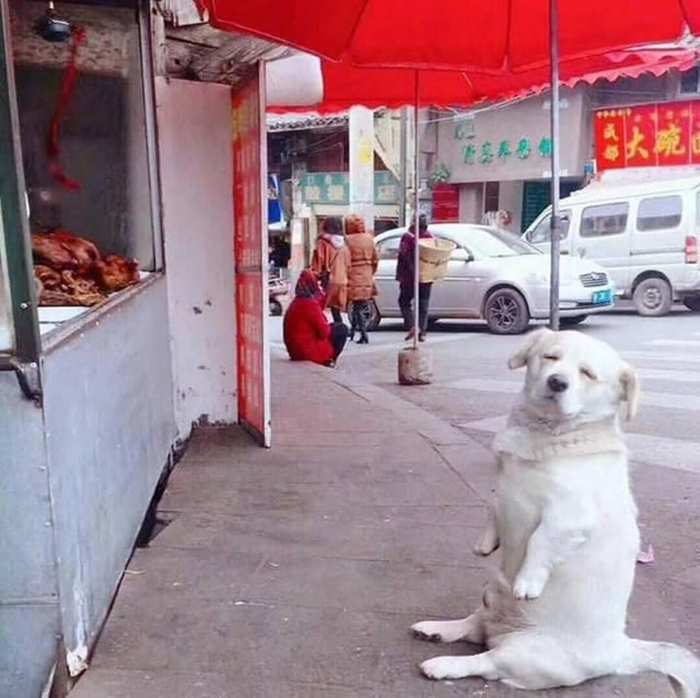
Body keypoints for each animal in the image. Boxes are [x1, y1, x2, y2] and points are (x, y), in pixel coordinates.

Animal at [410, 328, 700, 692]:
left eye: (587, 373)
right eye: (550, 357)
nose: (557, 382)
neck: (546, 435)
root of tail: (620, 651)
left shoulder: (568, 516)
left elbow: (540, 543)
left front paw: (528, 582)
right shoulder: (503, 487)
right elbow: (493, 507)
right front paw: (486, 543)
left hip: (523, 653)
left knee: (484, 660)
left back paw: (442, 664)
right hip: (490, 596)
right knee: (474, 626)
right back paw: (436, 629)